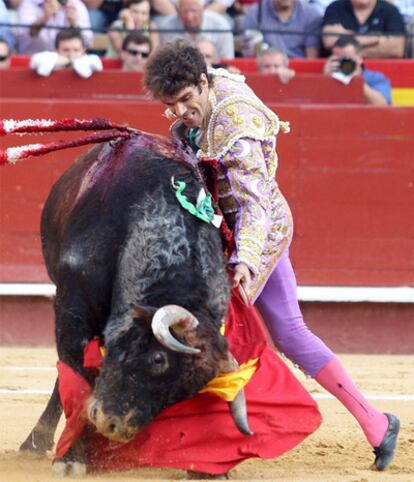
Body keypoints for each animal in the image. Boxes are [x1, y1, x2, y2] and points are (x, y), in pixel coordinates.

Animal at [19, 131, 251, 466]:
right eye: (158, 359)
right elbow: (74, 374)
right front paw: (73, 457)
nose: (112, 426)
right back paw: (36, 441)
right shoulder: (72, 305)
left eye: (185, 392)